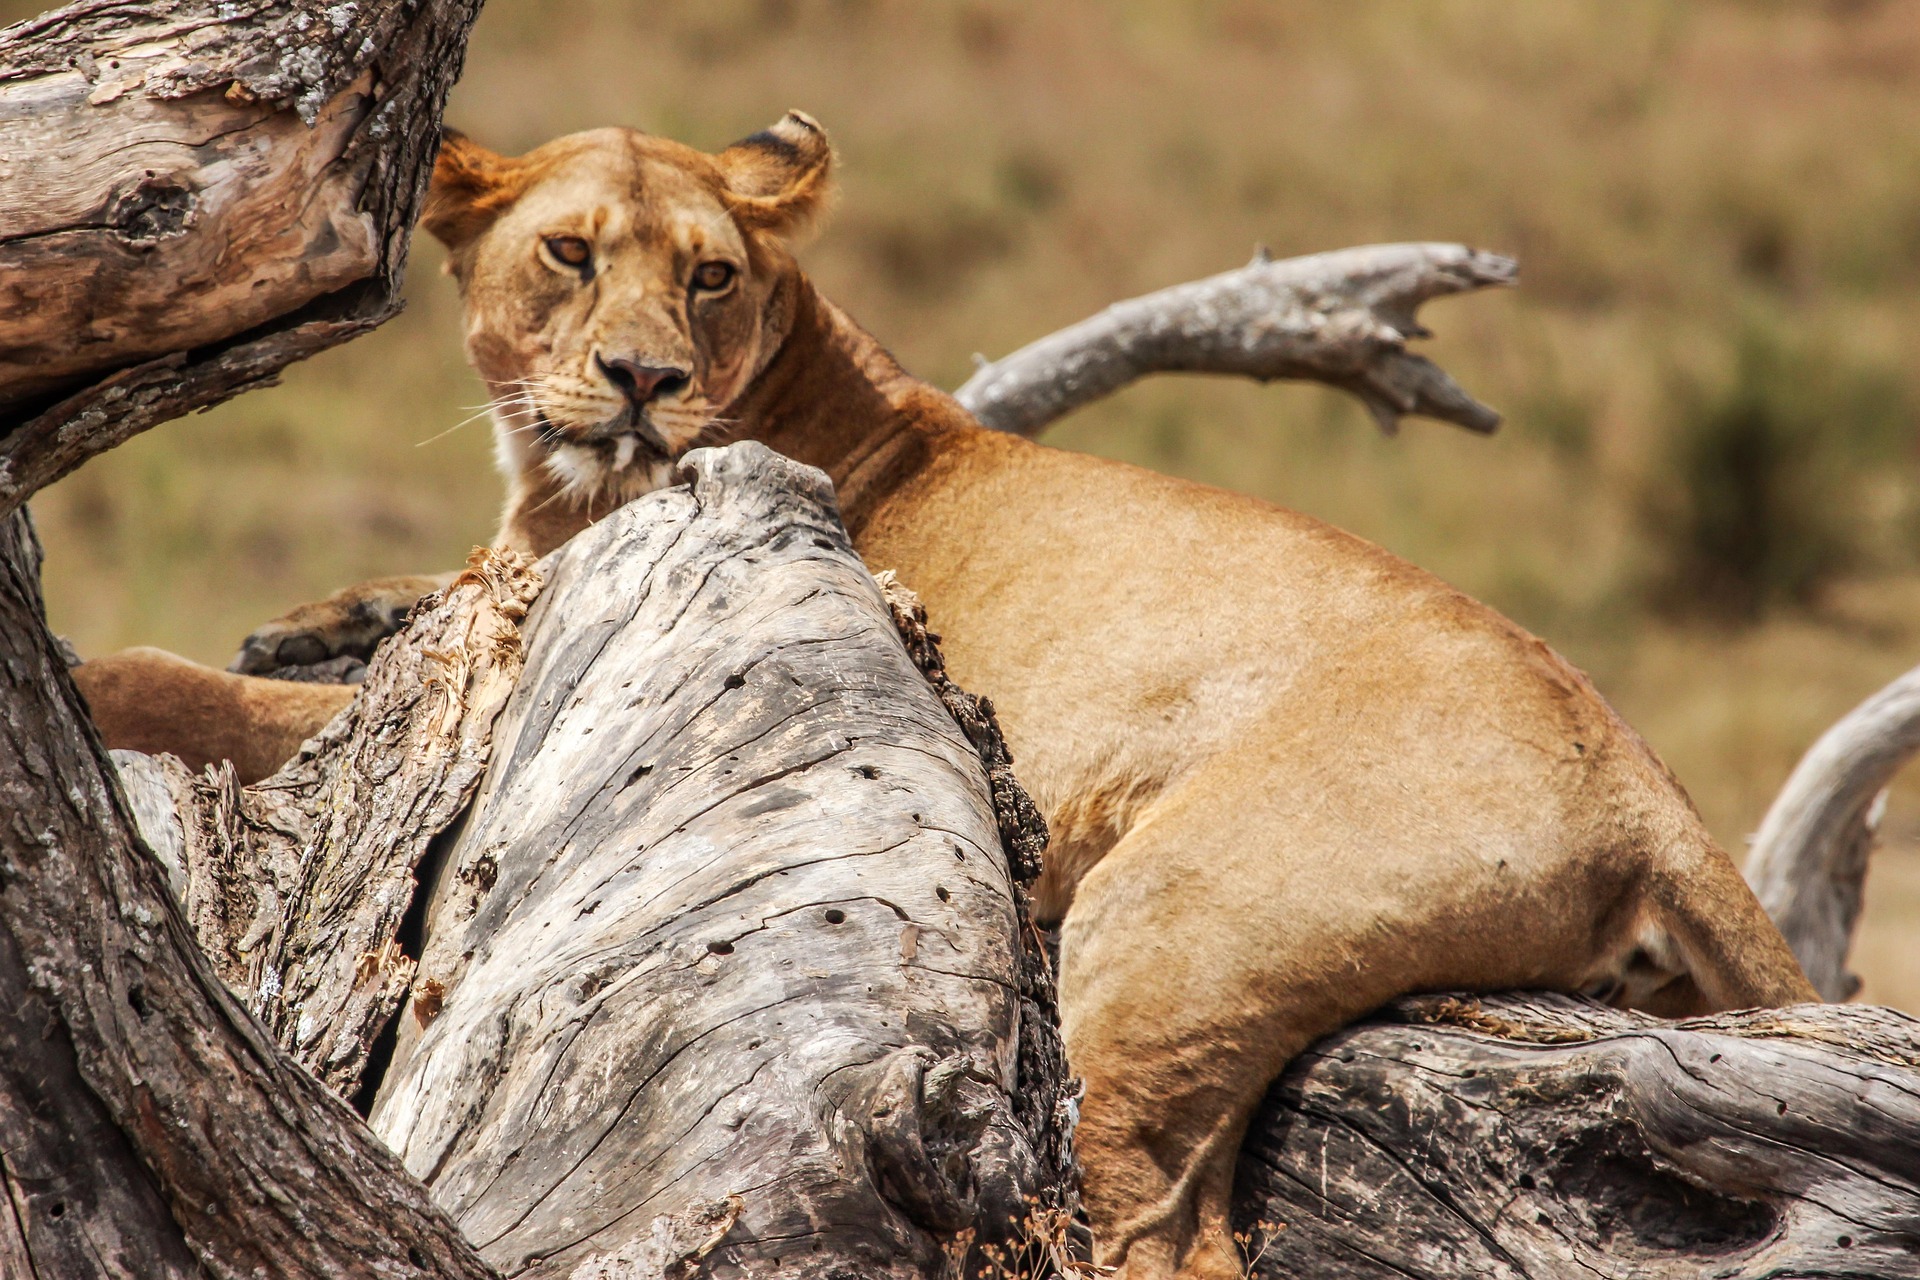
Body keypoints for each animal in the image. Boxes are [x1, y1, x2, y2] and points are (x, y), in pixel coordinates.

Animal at [74, 113, 1818, 1279]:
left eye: (710, 277)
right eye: (569, 253)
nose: (643, 383)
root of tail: (1645, 783)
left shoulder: (507, 703)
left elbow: (205, 697)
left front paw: (104, 674)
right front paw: (317, 616)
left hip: (1162, 929)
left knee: (1159, 1230)